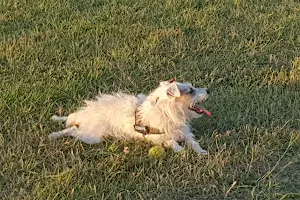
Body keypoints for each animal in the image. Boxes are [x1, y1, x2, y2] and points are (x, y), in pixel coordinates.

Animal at [49, 78, 211, 155]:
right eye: (191, 90)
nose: (209, 90)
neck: (167, 111)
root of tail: (85, 117)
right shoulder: (156, 137)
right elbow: (171, 142)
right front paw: (180, 150)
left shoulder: (184, 132)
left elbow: (193, 142)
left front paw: (201, 152)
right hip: (90, 136)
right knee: (71, 129)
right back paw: (55, 134)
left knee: (70, 120)